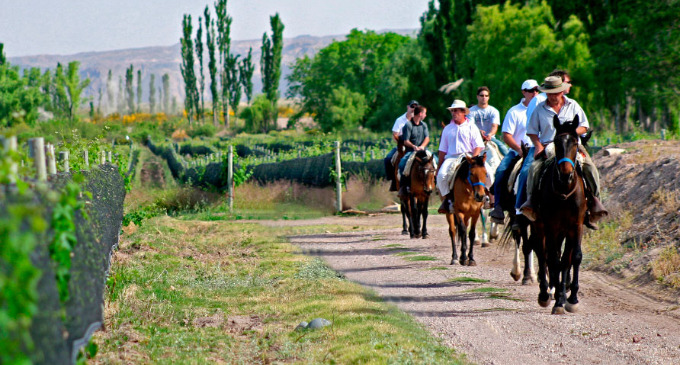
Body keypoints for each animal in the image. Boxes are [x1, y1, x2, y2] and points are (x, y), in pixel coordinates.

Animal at [528, 116, 588, 312]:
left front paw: (571, 298)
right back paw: (545, 293)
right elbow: (553, 259)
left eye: (575, 143)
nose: (565, 174)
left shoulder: (575, 226)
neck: (564, 191)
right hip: (539, 226)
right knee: (542, 253)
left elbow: (572, 258)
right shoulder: (551, 226)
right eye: (556, 142)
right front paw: (558, 300)